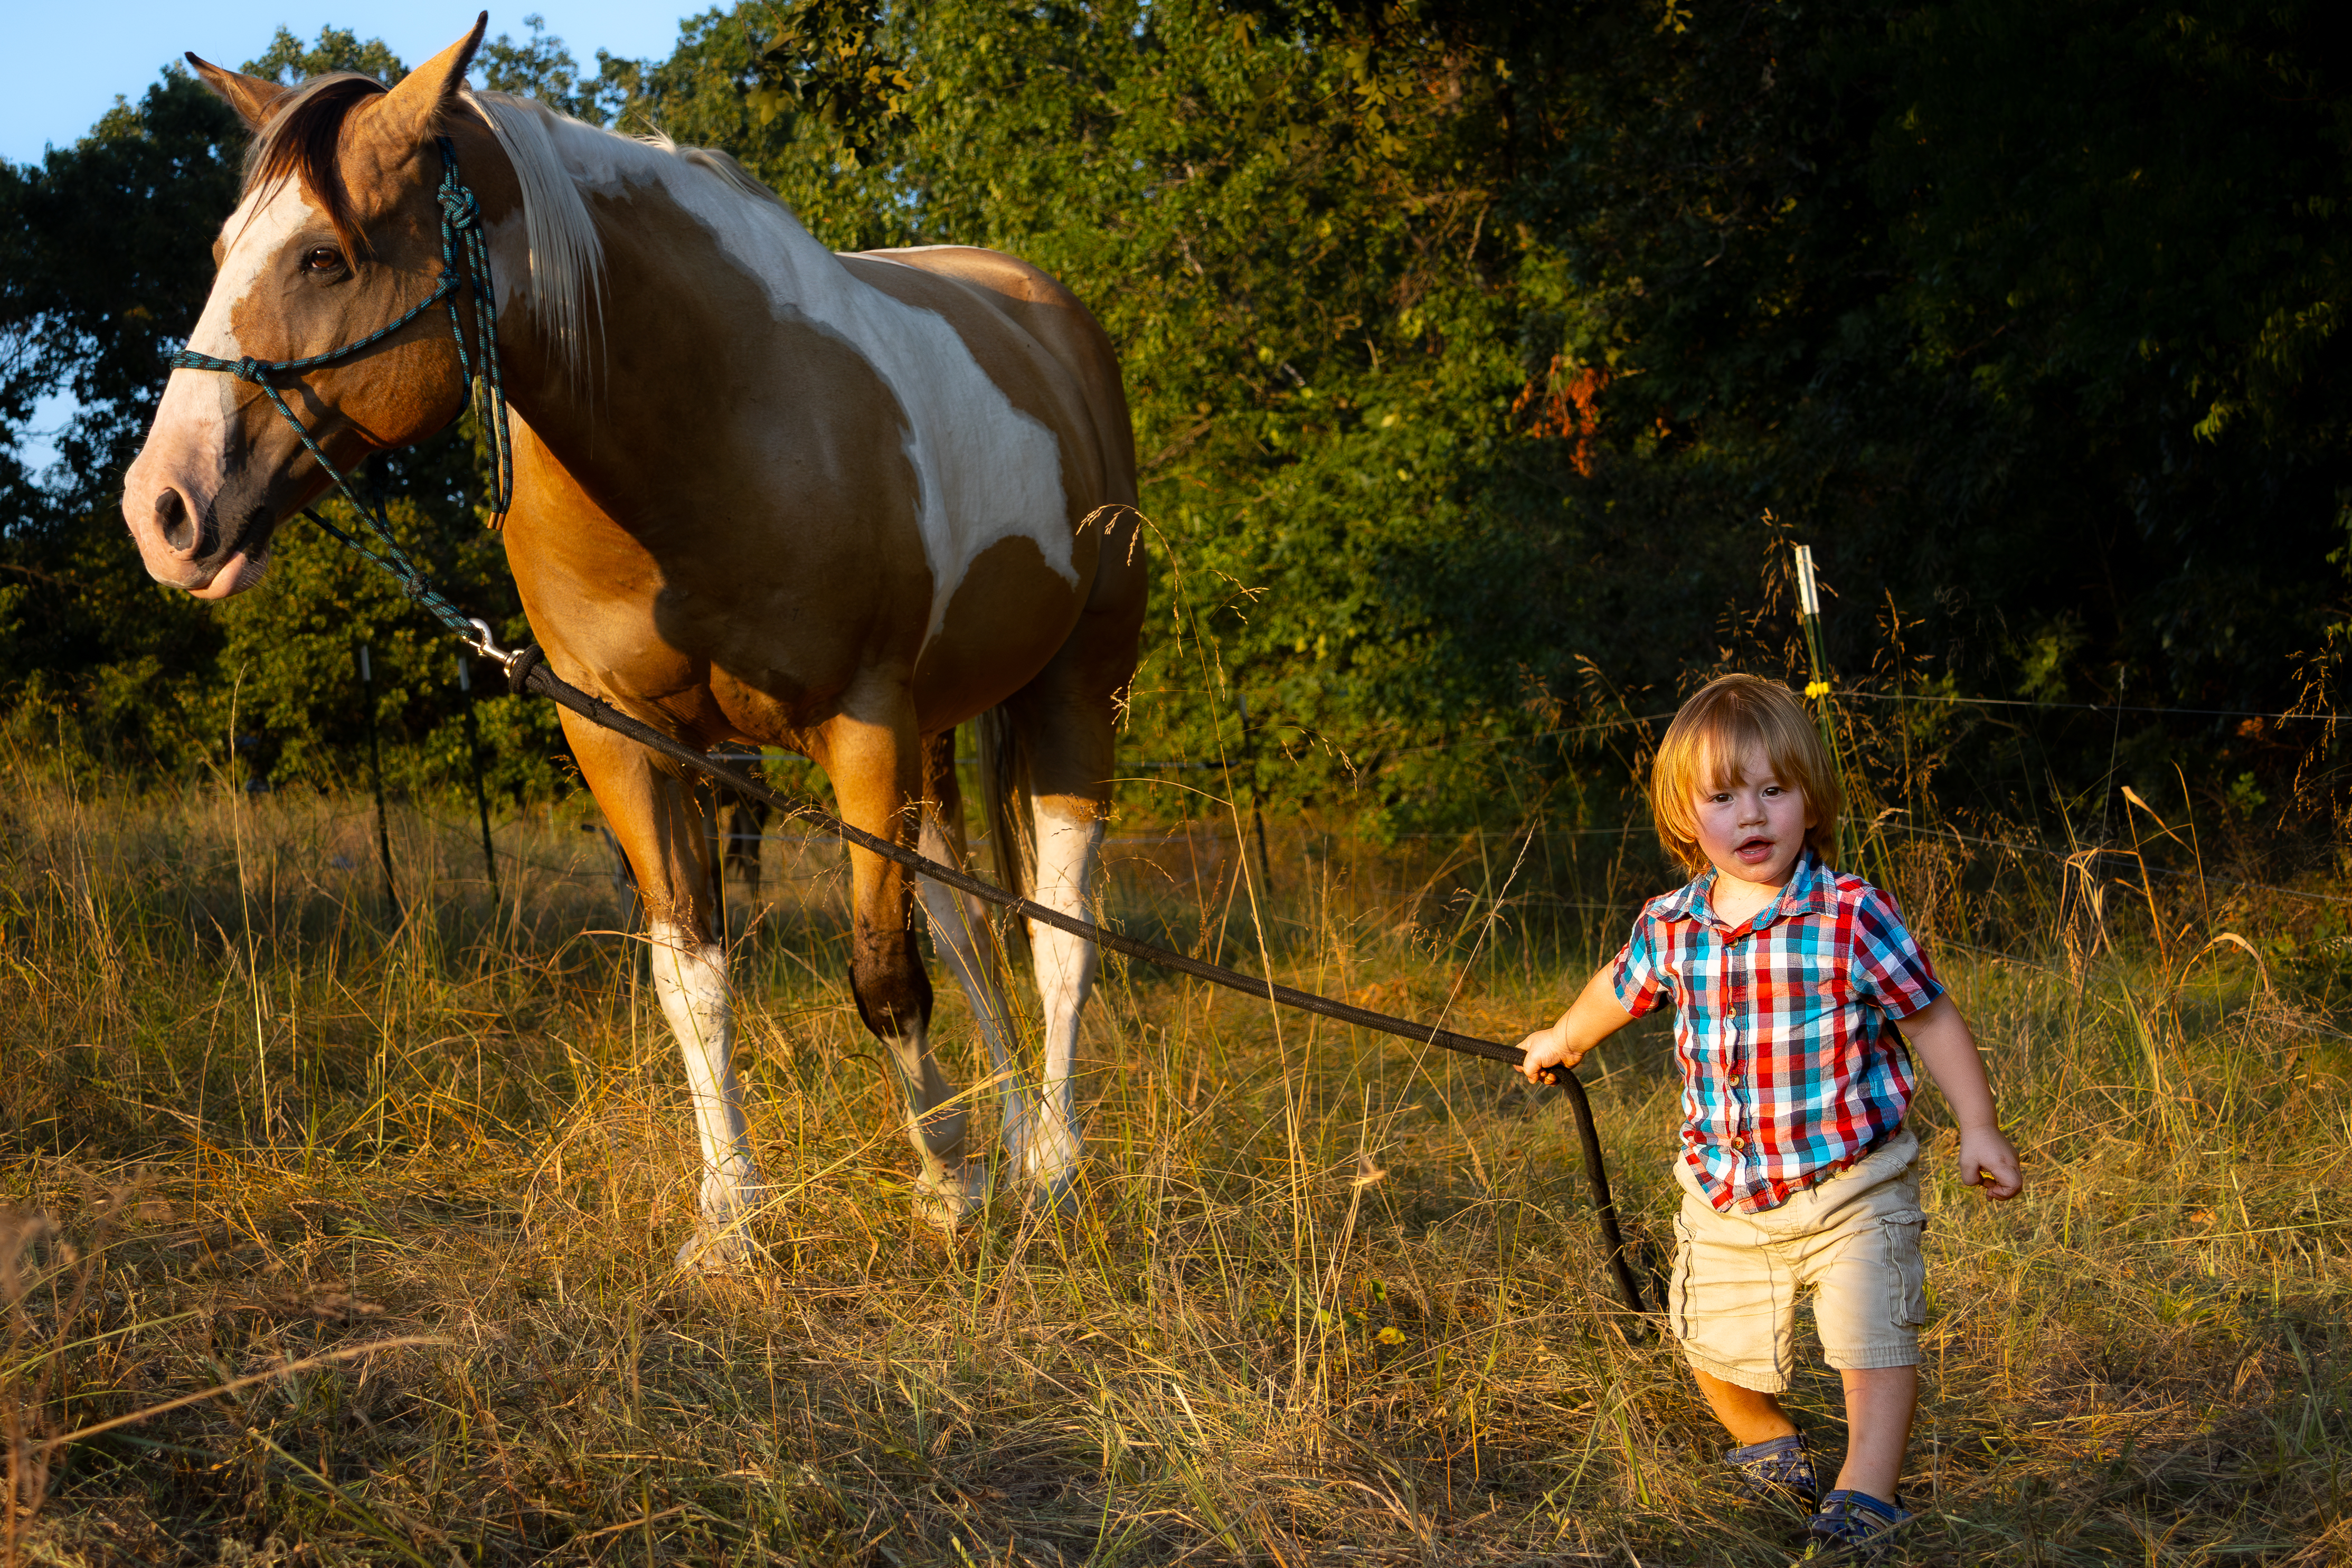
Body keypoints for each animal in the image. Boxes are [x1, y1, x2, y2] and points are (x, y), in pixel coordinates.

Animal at [119, 15, 1147, 1265]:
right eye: (225, 246)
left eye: (324, 257)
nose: (163, 512)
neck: (713, 423)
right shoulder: (626, 741)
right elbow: (693, 977)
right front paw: (734, 1218)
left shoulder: (863, 725)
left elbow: (885, 976)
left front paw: (945, 1188)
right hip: (941, 733)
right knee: (970, 928)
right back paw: (1010, 1142)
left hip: (1077, 688)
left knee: (1060, 939)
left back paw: (1051, 1167)